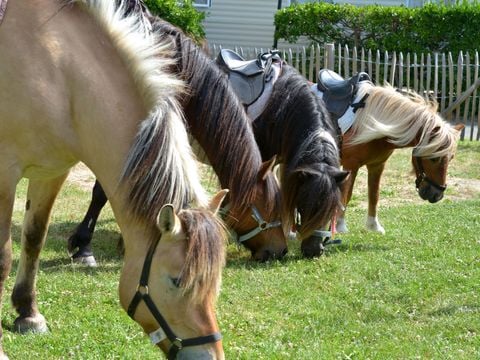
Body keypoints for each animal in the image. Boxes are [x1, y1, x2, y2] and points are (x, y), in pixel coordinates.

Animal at [0, 1, 229, 358]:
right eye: (177, 281)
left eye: (215, 281)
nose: (210, 354)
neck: (56, 72)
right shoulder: (5, 174)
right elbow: (3, 259)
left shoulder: (53, 171)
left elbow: (34, 237)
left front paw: (28, 313)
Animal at [312, 70, 464, 233]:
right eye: (433, 158)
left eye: (451, 158)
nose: (437, 195)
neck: (369, 123)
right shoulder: (351, 165)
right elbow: (347, 194)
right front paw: (341, 227)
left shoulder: (377, 165)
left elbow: (374, 194)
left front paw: (373, 226)